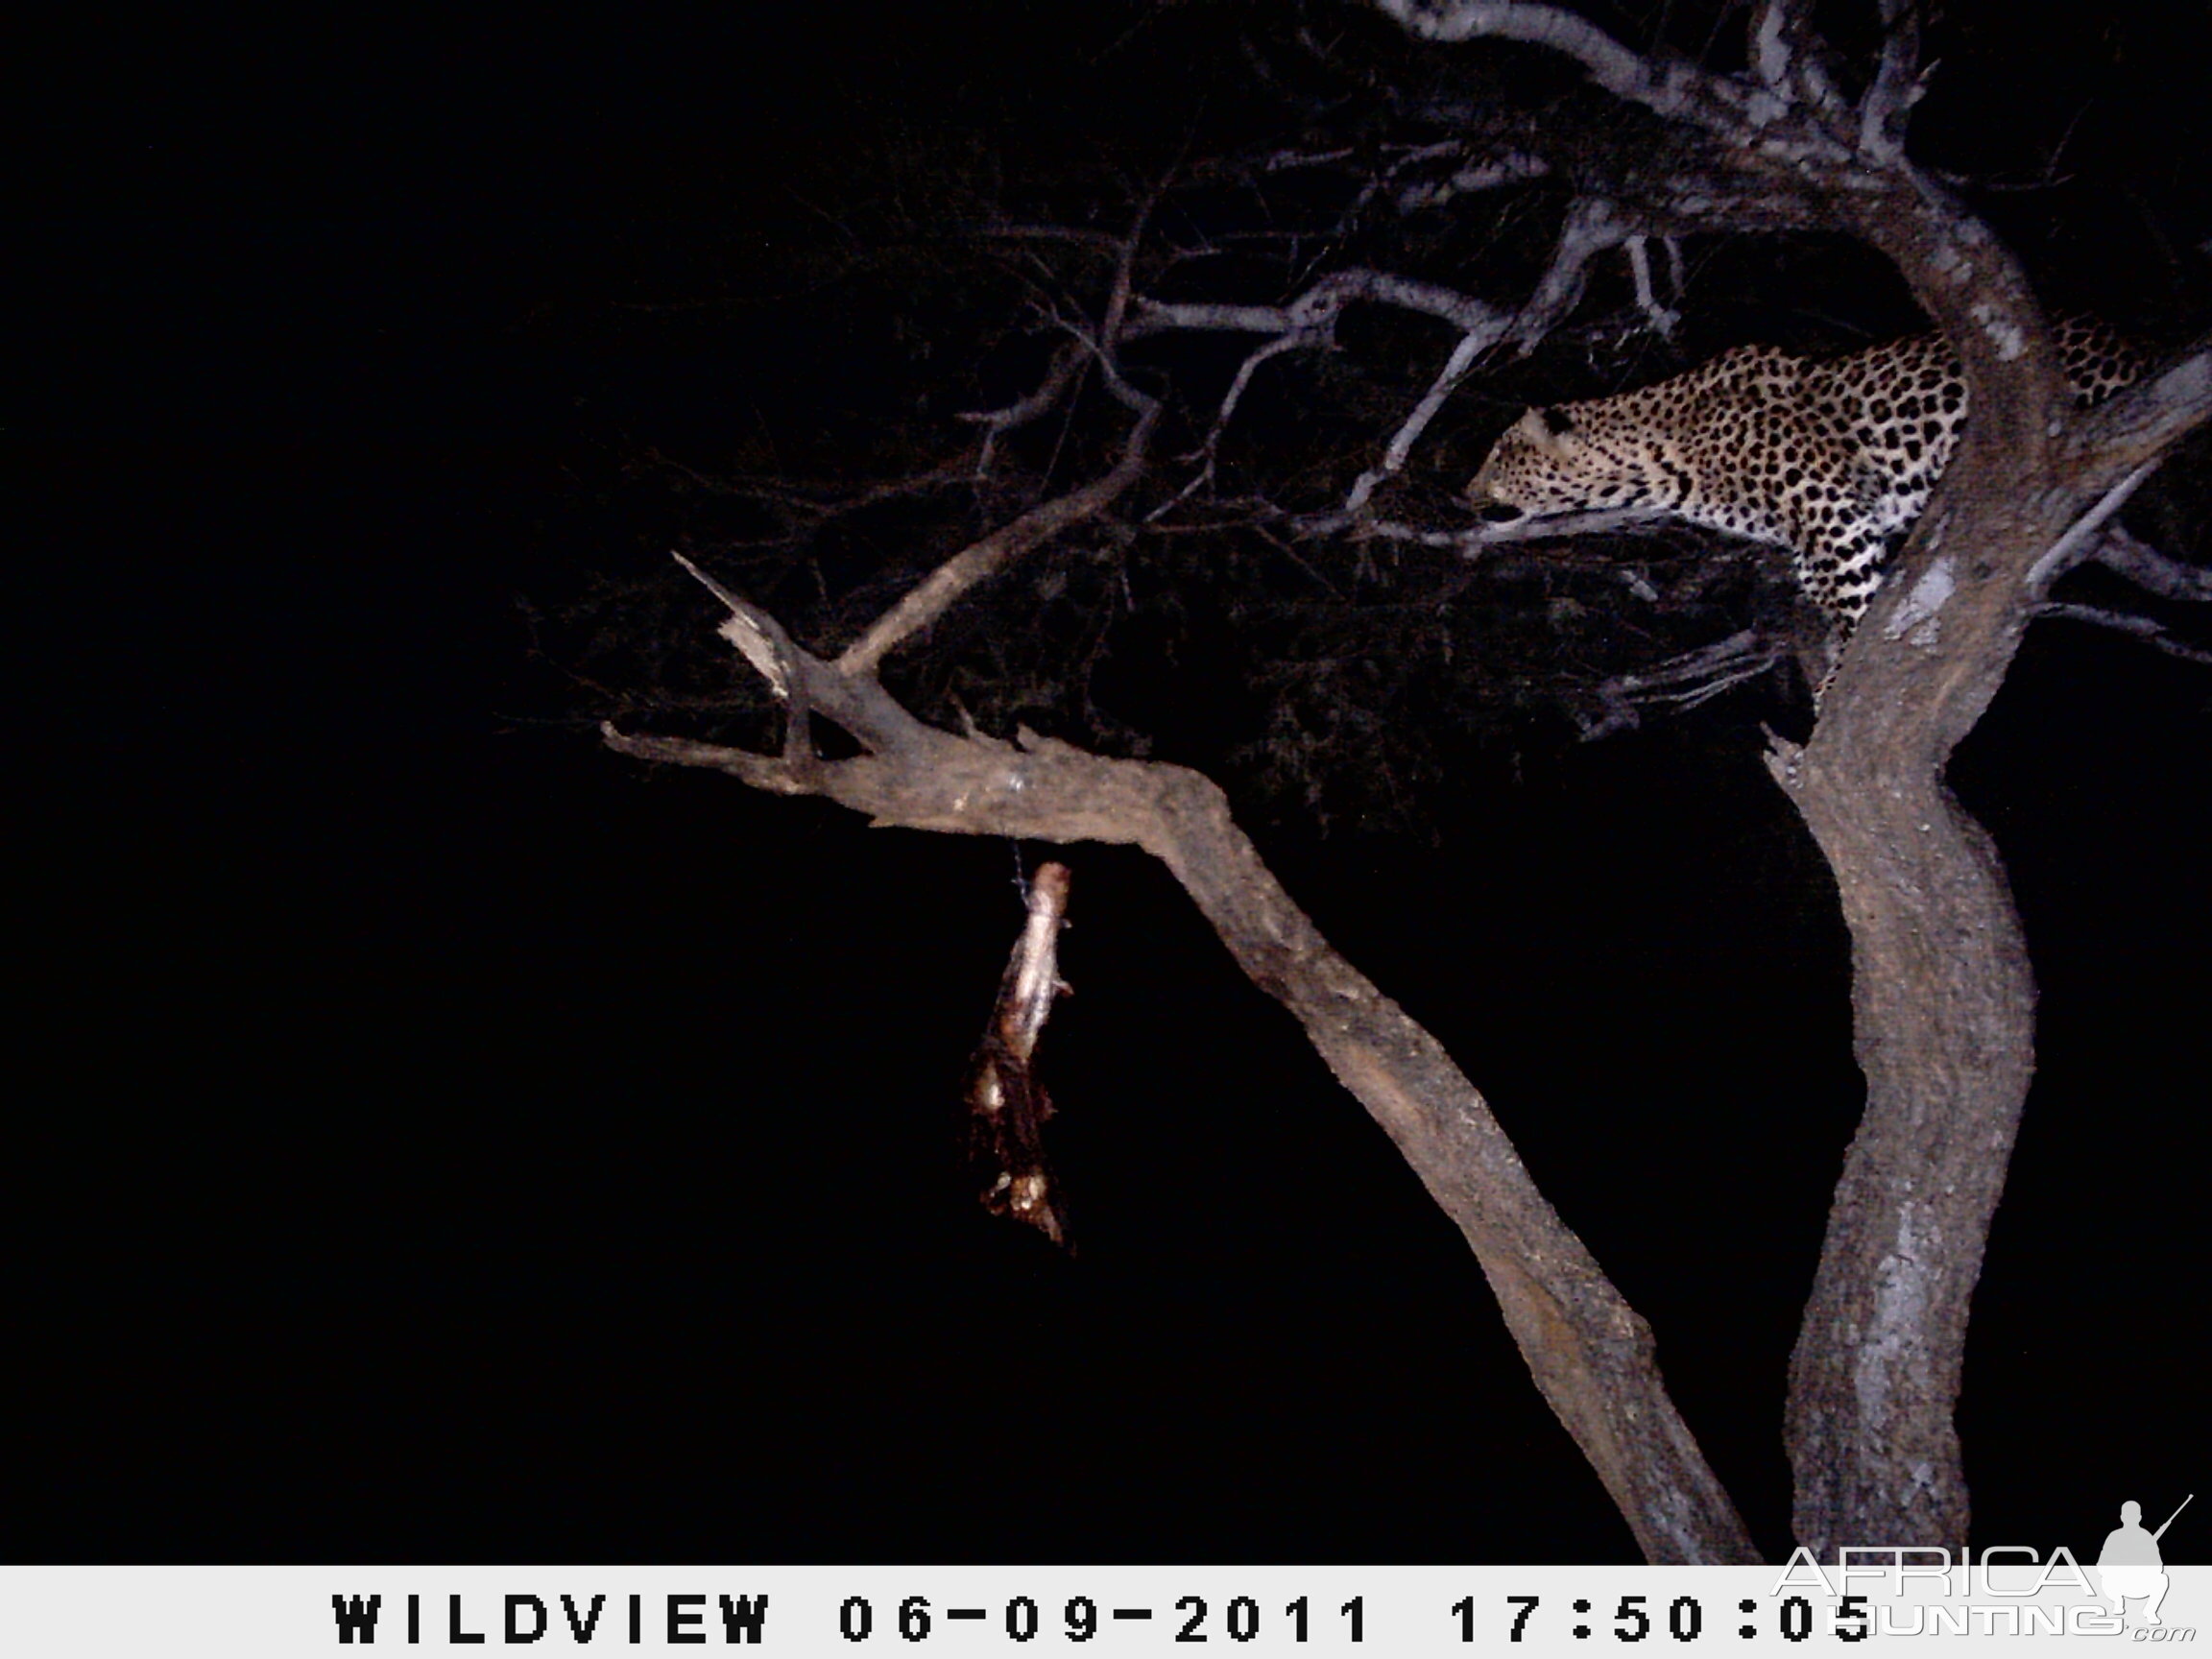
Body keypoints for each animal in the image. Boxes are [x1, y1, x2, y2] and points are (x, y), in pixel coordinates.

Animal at [1468, 318, 2141, 663]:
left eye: (1500, 453)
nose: (1463, 491)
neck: (1658, 465)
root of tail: (2131, 341)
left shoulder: (1832, 515)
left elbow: (1854, 605)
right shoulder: (1815, 539)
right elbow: (1825, 595)